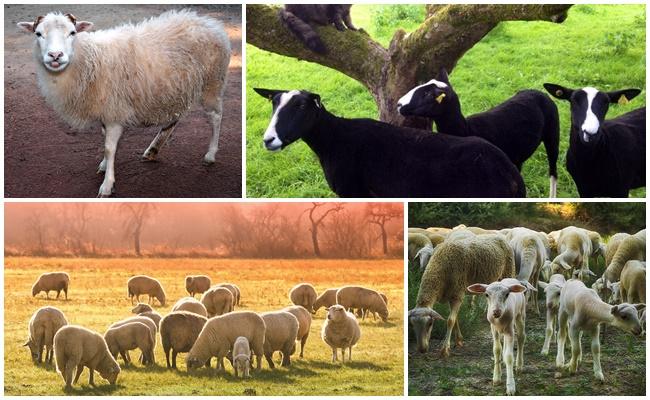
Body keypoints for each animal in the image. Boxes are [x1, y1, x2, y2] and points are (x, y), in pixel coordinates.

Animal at [17, 10, 231, 197]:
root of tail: (210, 23)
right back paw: (153, 149)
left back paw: (210, 155)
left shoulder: (114, 111)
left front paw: (107, 185)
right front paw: (104, 166)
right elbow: (105, 139)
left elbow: (109, 147)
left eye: (72, 32)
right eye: (38, 34)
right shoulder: (107, 111)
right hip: (175, 90)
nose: (55, 56)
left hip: (212, 83)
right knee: (175, 117)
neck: (88, 60)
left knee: (216, 117)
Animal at [253, 88, 526, 198]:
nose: (269, 140)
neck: (334, 139)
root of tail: (510, 173)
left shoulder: (354, 192)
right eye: (273, 103)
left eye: (300, 106)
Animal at [397, 68, 560, 197]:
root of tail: (537, 91)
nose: (399, 104)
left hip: (553, 132)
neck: (466, 129)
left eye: (427, 94)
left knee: (553, 172)